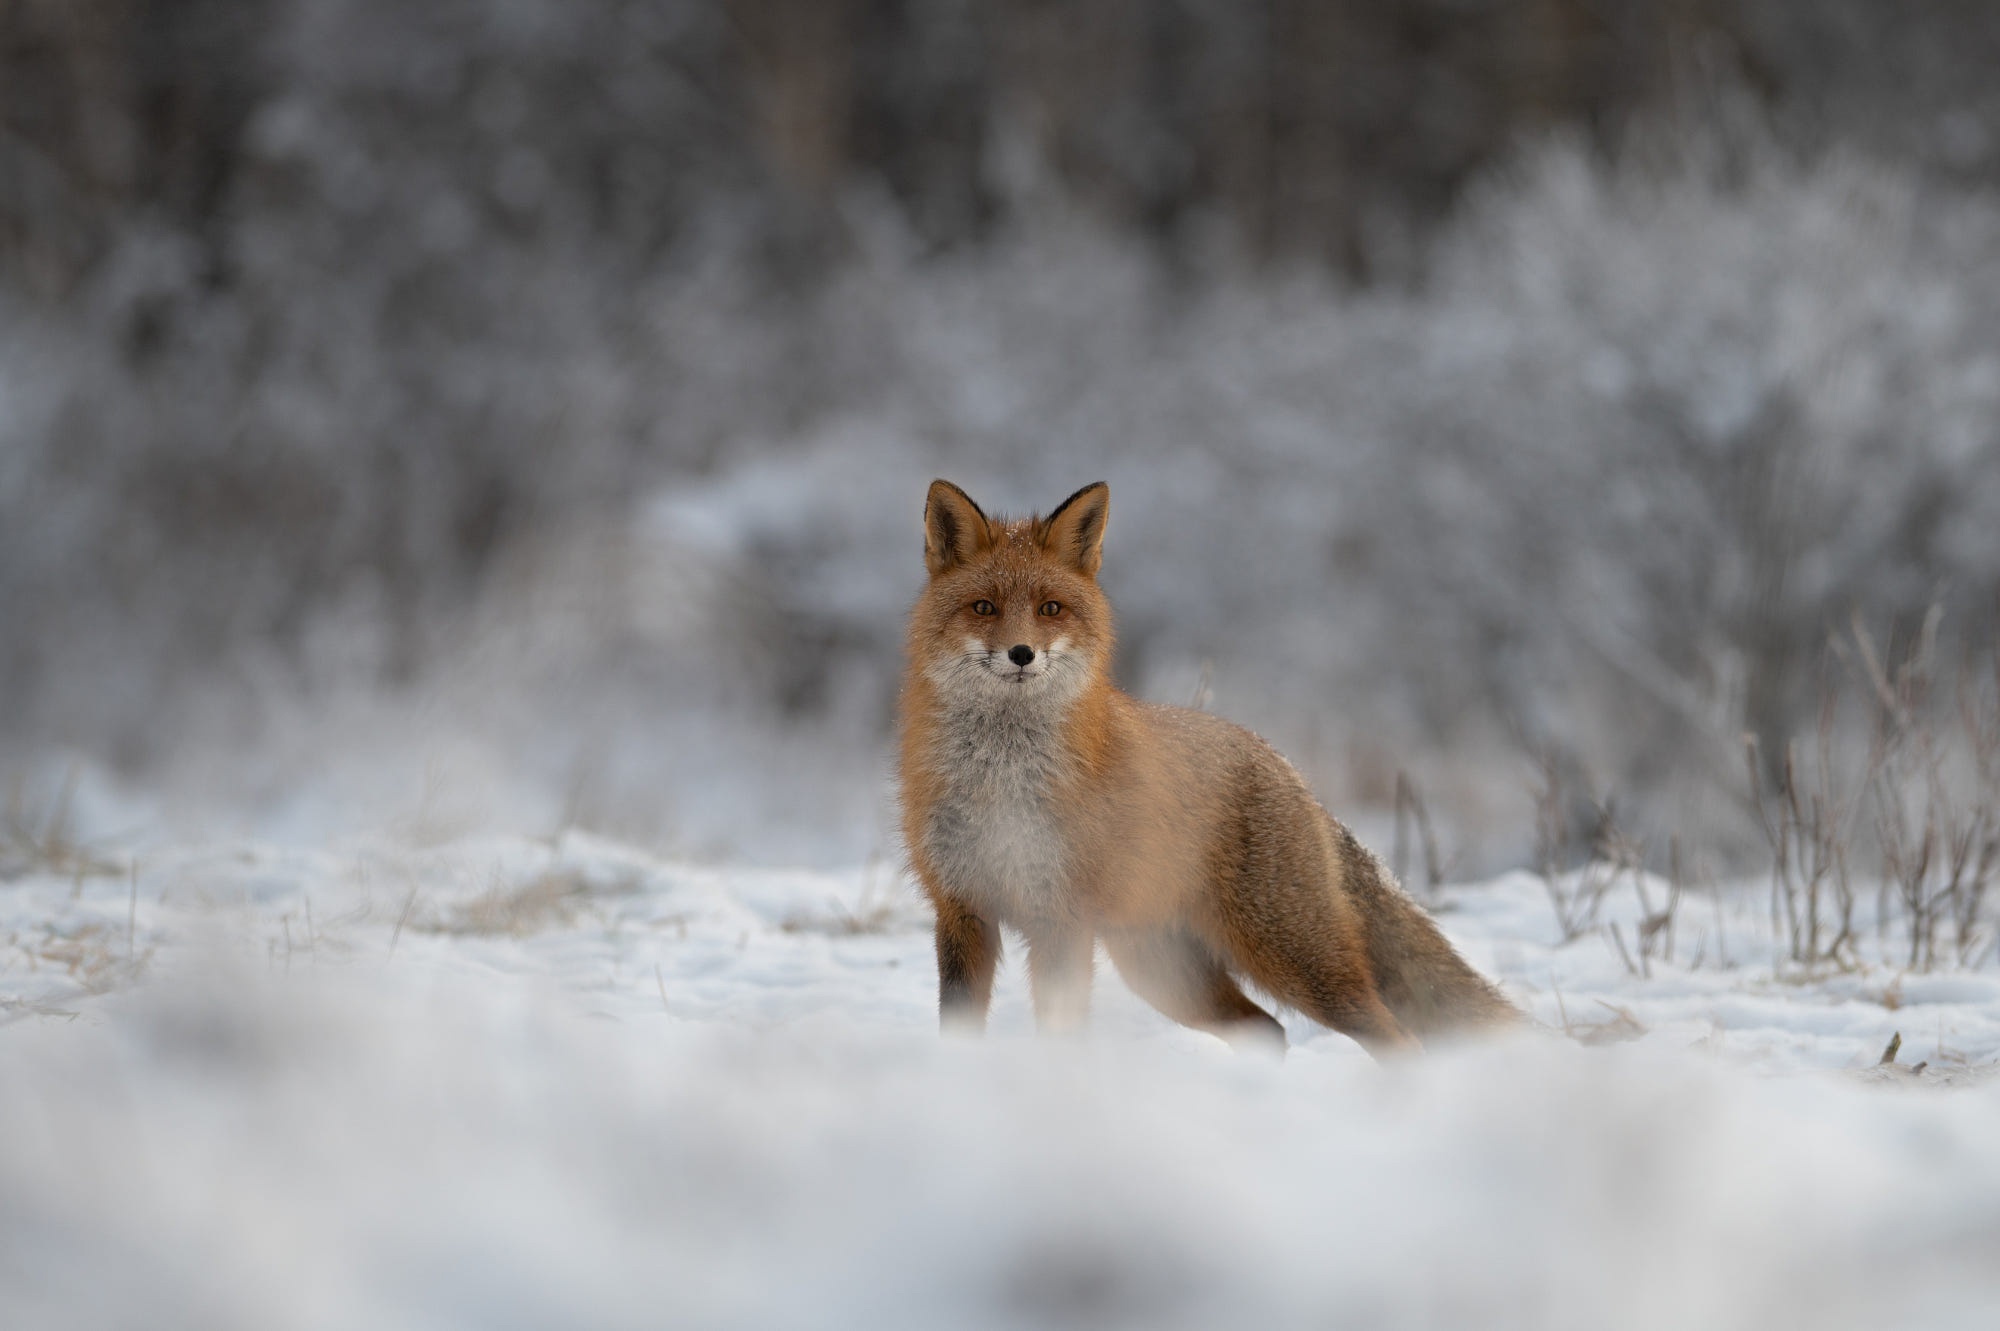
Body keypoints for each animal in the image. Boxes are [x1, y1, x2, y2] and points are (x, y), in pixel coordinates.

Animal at [898, 479, 1522, 1056]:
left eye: (1051, 608)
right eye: (984, 607)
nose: (1022, 654)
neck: (1000, 781)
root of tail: (1287, 767)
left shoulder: (1060, 919)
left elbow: (1059, 1029)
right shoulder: (962, 911)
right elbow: (957, 1029)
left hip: (1292, 959)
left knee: (1393, 1037)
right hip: (1165, 971)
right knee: (1266, 1030)